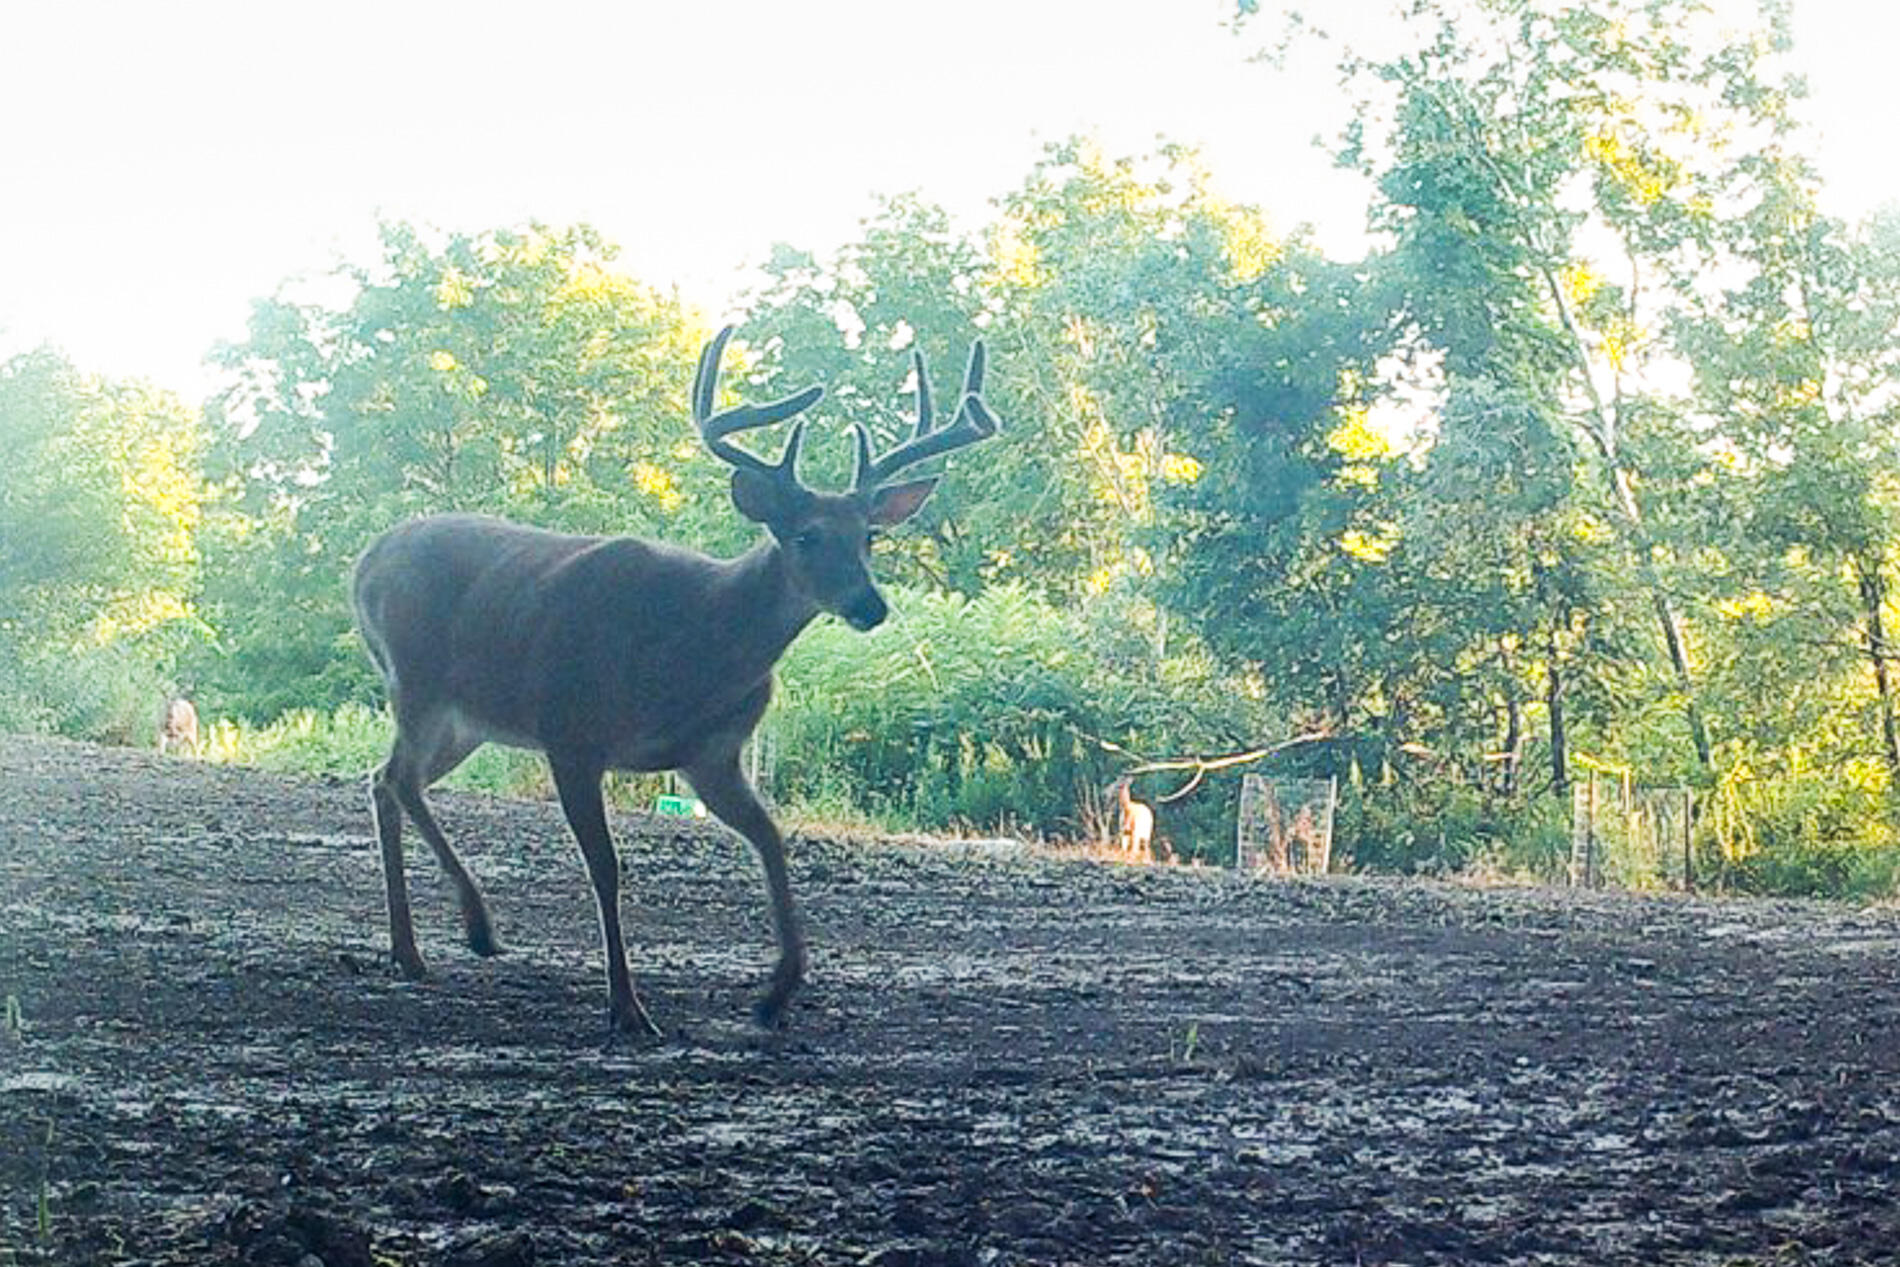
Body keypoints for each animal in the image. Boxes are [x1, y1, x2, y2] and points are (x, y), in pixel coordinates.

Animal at [357, 326, 1010, 1040]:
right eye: (806, 536)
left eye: (869, 537)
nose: (871, 605)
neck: (692, 649)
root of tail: (367, 559)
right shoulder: (572, 734)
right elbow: (606, 865)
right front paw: (627, 1005)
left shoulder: (711, 755)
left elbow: (772, 841)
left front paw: (777, 993)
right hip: (418, 682)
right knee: (400, 778)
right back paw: (470, 930)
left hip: (469, 721)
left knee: (386, 779)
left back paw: (413, 947)